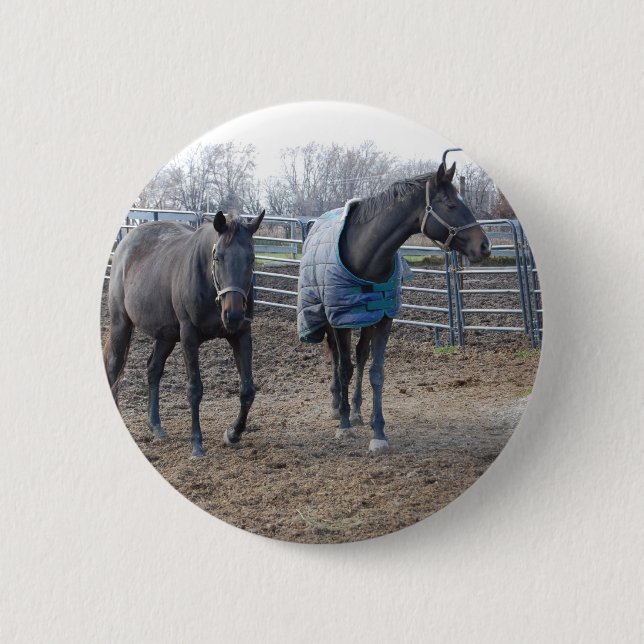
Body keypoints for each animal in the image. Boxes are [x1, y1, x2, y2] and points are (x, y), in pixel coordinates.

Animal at [103, 209, 265, 457]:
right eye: (218, 257)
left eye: (252, 258)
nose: (234, 314)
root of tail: (126, 242)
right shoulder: (189, 336)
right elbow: (194, 389)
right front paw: (197, 443)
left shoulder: (241, 334)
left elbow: (247, 389)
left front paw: (233, 433)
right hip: (121, 322)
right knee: (114, 367)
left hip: (166, 335)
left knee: (153, 369)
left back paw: (156, 425)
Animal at [297, 155, 491, 455]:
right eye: (450, 204)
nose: (485, 246)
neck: (365, 254)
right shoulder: (340, 319)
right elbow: (343, 368)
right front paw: (344, 426)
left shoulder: (383, 318)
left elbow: (376, 372)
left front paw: (377, 432)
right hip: (327, 318)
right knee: (338, 360)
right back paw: (337, 407)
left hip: (365, 319)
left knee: (360, 357)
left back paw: (356, 410)